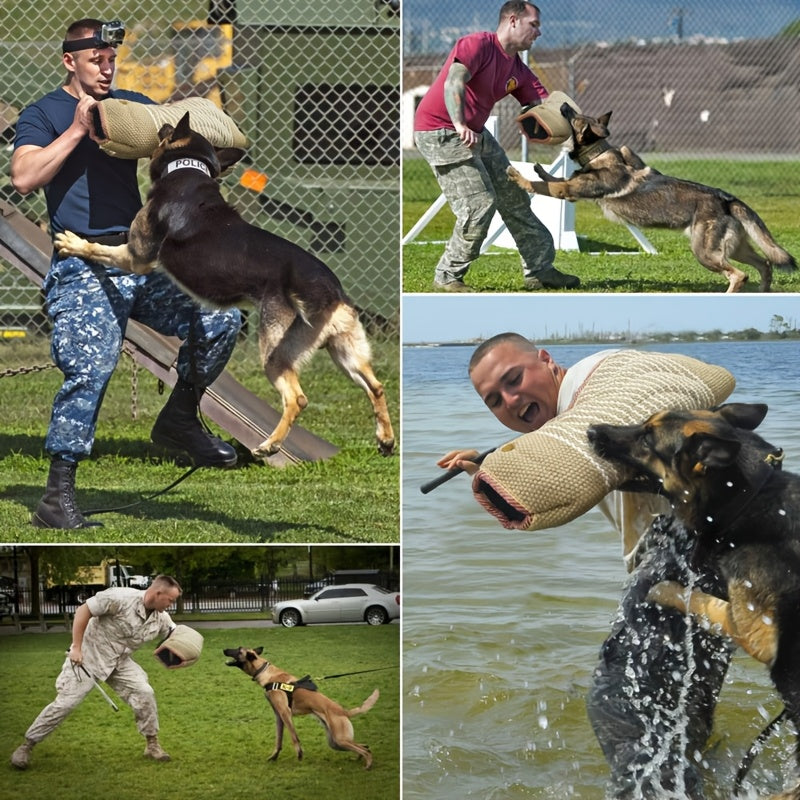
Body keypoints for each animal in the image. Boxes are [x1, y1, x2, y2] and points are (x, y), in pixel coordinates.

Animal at [54, 114, 396, 462]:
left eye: (168, 131)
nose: (162, 122)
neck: (187, 168)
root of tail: (330, 290)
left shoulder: (137, 256)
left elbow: (100, 249)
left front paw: (74, 243)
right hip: (345, 351)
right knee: (376, 386)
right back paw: (385, 440)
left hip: (275, 350)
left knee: (297, 398)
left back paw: (270, 444)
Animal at [222, 644, 378, 768]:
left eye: (238, 650)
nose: (224, 649)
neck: (265, 671)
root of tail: (343, 711)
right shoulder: (278, 716)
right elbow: (278, 740)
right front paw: (274, 756)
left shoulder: (285, 713)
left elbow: (294, 737)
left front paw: (299, 755)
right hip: (335, 742)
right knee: (364, 746)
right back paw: (360, 757)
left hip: (339, 739)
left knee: (365, 750)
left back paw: (368, 764)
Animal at [506, 104, 792, 294]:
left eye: (575, 116)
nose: (564, 105)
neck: (599, 153)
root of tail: (727, 199)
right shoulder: (570, 187)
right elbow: (553, 178)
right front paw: (540, 169)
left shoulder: (568, 191)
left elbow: (545, 185)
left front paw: (518, 175)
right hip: (736, 248)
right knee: (766, 263)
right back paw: (764, 291)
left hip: (705, 252)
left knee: (739, 275)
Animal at [588, 406, 800, 800]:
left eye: (647, 438)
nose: (591, 431)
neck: (750, 494)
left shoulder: (757, 631)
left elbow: (697, 598)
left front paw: (660, 590)